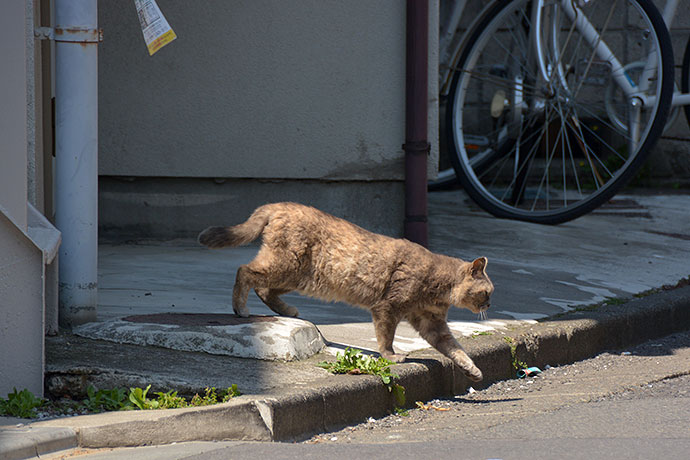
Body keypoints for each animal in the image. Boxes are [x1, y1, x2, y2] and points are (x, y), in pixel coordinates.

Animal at [196, 201, 492, 380]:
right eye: (487, 292)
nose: (489, 305)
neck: (438, 286)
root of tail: (279, 205)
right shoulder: (387, 308)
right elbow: (386, 338)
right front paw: (392, 357)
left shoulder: (432, 323)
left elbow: (455, 348)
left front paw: (474, 370)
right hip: (287, 265)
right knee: (245, 271)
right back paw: (240, 308)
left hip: (298, 276)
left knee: (264, 288)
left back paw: (287, 310)